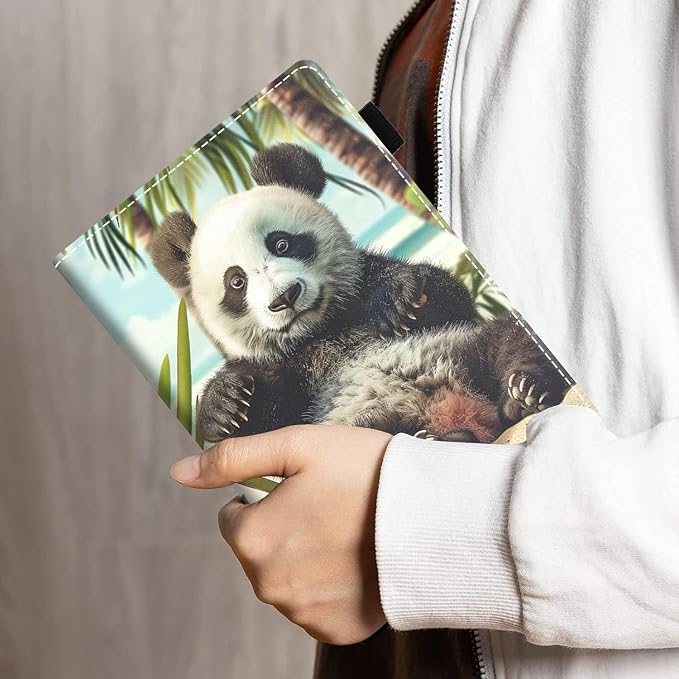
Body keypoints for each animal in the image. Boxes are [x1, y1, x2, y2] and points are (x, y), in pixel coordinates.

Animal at [151, 143, 565, 443]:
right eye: (236, 282)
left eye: (282, 243)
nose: (285, 298)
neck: (324, 331)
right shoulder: (290, 370)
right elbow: (266, 414)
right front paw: (226, 403)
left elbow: (446, 295)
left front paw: (397, 300)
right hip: (343, 425)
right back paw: (442, 436)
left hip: (461, 345)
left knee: (509, 339)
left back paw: (523, 393)